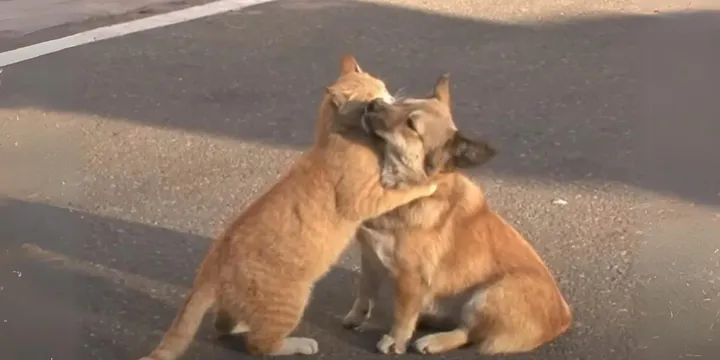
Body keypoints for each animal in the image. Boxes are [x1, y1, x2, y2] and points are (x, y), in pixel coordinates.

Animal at [136, 57, 438, 358]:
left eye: (383, 88)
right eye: (374, 99)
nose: (390, 99)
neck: (334, 136)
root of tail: (210, 265)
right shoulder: (365, 200)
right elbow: (401, 192)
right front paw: (428, 183)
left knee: (223, 325)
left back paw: (241, 326)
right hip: (291, 302)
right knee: (261, 345)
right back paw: (299, 344)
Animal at [344, 76, 572, 354]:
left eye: (411, 125)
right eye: (402, 102)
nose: (373, 103)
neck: (406, 193)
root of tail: (563, 319)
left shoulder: (411, 278)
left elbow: (402, 315)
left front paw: (394, 340)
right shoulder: (370, 258)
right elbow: (364, 294)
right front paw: (357, 317)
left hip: (488, 295)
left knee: (469, 333)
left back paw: (434, 341)